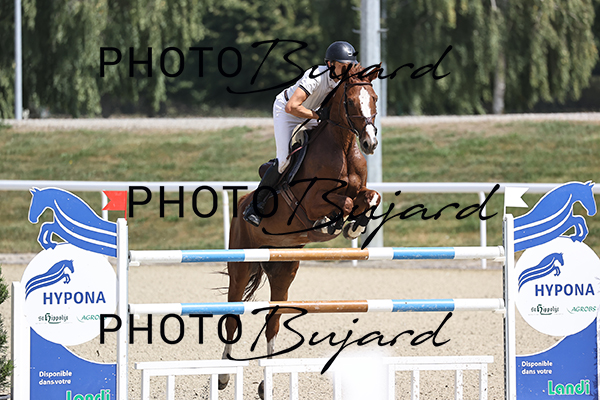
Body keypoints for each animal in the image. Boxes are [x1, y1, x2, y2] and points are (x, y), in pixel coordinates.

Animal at [219, 63, 382, 397]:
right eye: (350, 101)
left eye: (373, 98)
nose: (370, 143)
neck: (344, 147)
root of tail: (241, 204)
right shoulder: (310, 203)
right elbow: (343, 202)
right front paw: (337, 223)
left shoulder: (362, 190)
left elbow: (370, 196)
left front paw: (355, 225)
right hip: (241, 266)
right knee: (231, 317)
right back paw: (224, 376)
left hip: (283, 268)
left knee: (273, 319)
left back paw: (266, 383)